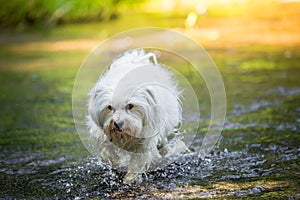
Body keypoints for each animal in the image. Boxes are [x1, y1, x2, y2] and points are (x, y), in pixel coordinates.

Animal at [86, 48, 183, 183]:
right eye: (110, 107)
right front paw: (116, 162)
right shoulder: (102, 132)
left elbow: (138, 161)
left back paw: (165, 150)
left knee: (162, 141)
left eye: (130, 106)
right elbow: (106, 150)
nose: (117, 124)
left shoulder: (146, 139)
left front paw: (129, 179)